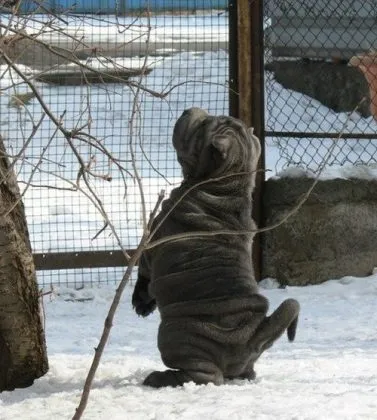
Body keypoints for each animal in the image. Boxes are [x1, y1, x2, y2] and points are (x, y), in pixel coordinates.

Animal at [132, 108, 300, 388]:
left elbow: (143, 274)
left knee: (204, 375)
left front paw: (141, 303)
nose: (190, 110)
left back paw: (161, 377)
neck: (226, 185)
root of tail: (251, 338)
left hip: (174, 335)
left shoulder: (153, 240)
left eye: (202, 127)